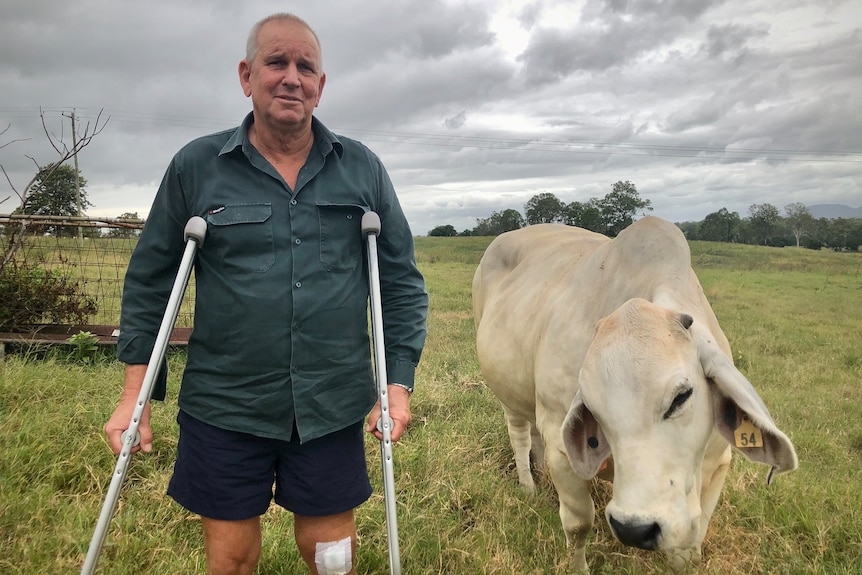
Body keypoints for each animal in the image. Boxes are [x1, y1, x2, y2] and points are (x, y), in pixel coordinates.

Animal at [476, 218, 800, 572]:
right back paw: (528, 485)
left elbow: (689, 547)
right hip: (508, 395)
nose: (636, 528)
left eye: (681, 396)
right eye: (593, 408)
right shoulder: (561, 449)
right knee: (520, 437)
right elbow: (578, 525)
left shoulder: (717, 464)